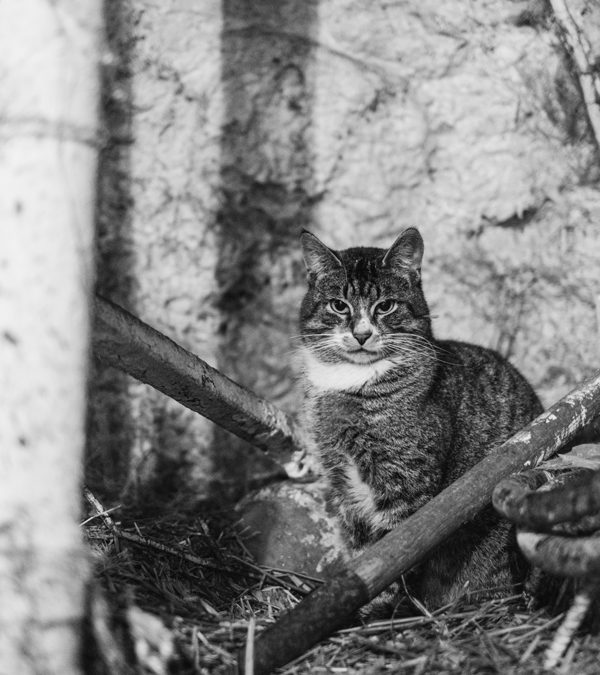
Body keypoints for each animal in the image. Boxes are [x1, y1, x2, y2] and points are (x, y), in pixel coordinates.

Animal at [298, 227, 540, 612]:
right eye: (339, 305)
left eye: (386, 306)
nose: (362, 334)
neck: (348, 384)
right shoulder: (342, 484)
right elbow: (359, 549)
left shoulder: (407, 485)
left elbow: (391, 557)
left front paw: (382, 611)